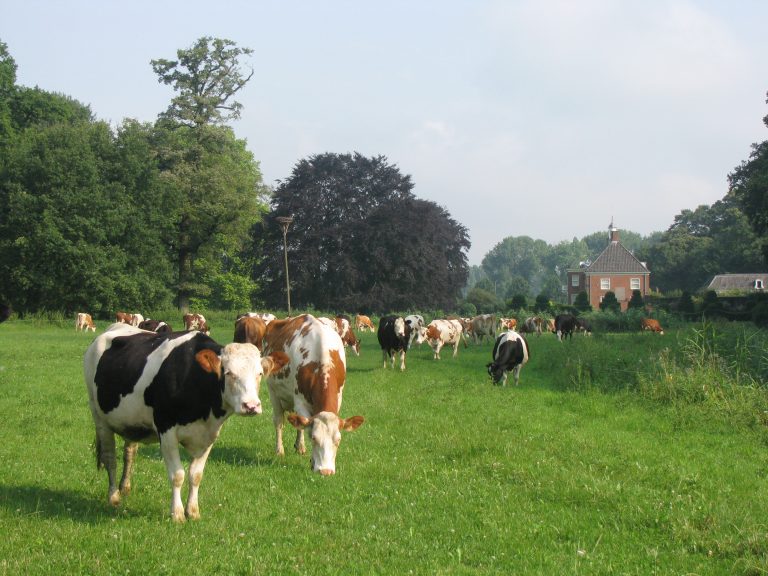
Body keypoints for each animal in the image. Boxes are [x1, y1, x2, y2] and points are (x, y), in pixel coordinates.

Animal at [262, 318, 364, 474]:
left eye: (338, 440)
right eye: (314, 438)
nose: (326, 471)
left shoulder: (339, 398)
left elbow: (303, 425)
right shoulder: (300, 402)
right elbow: (304, 425)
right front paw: (312, 461)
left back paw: (300, 447)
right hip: (273, 392)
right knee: (279, 421)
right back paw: (280, 450)